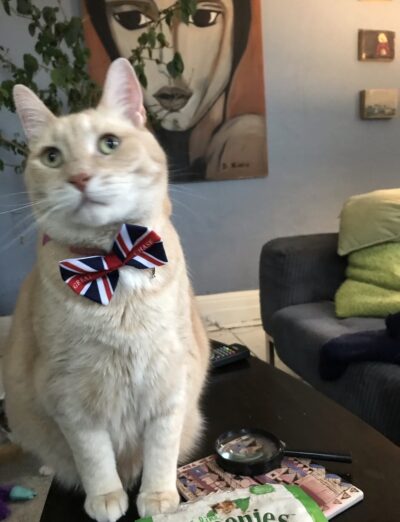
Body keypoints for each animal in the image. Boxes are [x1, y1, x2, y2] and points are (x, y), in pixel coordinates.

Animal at [3, 58, 210, 522]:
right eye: (52, 157)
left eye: (109, 144)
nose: (80, 177)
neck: (112, 264)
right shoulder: (70, 396)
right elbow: (93, 456)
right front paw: (105, 495)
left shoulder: (171, 381)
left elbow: (160, 449)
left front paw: (156, 496)